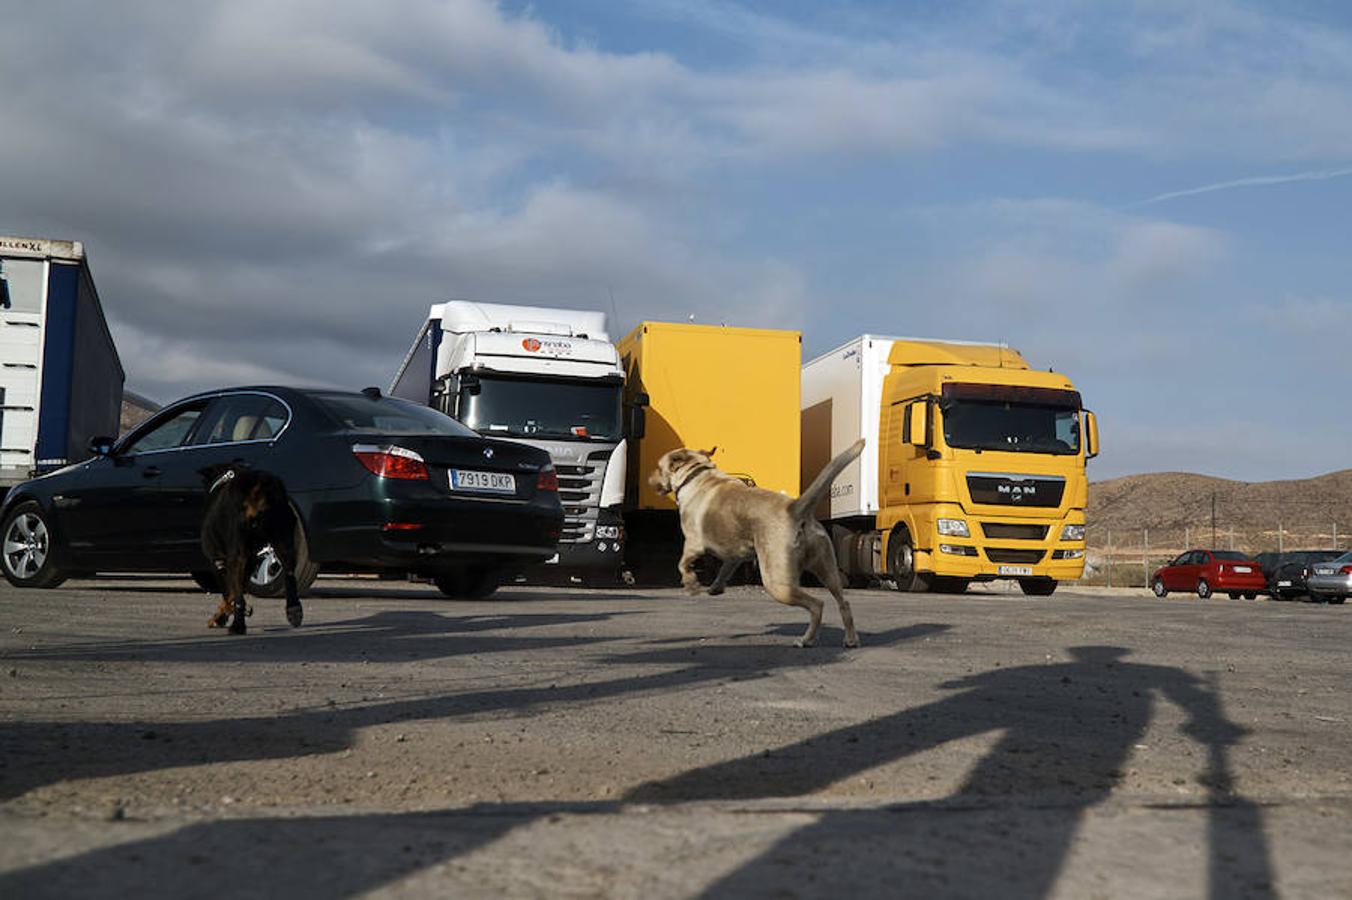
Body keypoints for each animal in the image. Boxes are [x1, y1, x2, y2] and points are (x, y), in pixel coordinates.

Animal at [651, 440, 865, 645]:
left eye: (658, 467)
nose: (648, 478)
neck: (696, 474)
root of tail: (794, 508)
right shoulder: (734, 554)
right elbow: (725, 569)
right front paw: (715, 587)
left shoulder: (694, 543)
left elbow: (682, 564)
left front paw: (691, 585)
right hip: (828, 572)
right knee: (843, 603)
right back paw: (850, 639)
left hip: (777, 584)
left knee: (817, 605)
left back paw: (807, 640)